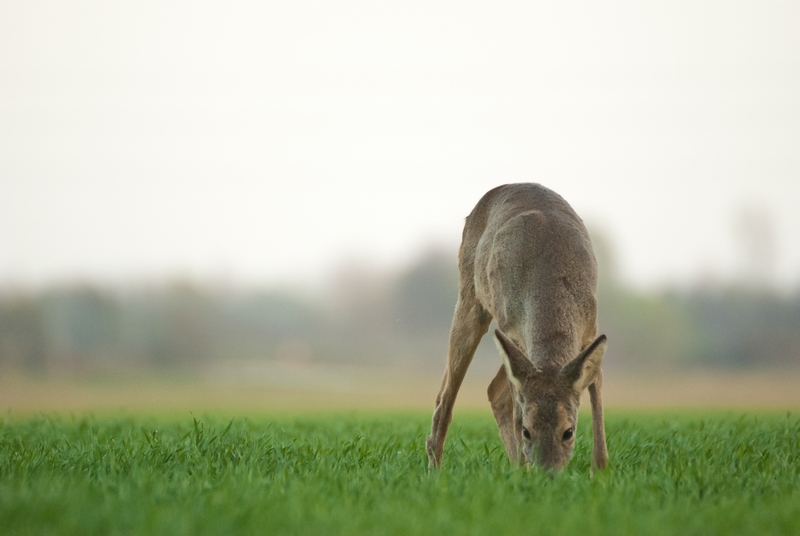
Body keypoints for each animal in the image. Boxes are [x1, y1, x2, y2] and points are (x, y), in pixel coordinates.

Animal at [424, 184, 608, 474]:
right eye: (527, 431)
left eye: (568, 431)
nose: (548, 474)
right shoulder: (511, 331)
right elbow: (516, 408)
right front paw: (524, 468)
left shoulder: (590, 329)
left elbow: (597, 393)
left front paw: (599, 472)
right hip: (471, 299)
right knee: (447, 398)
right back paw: (436, 470)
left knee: (494, 390)